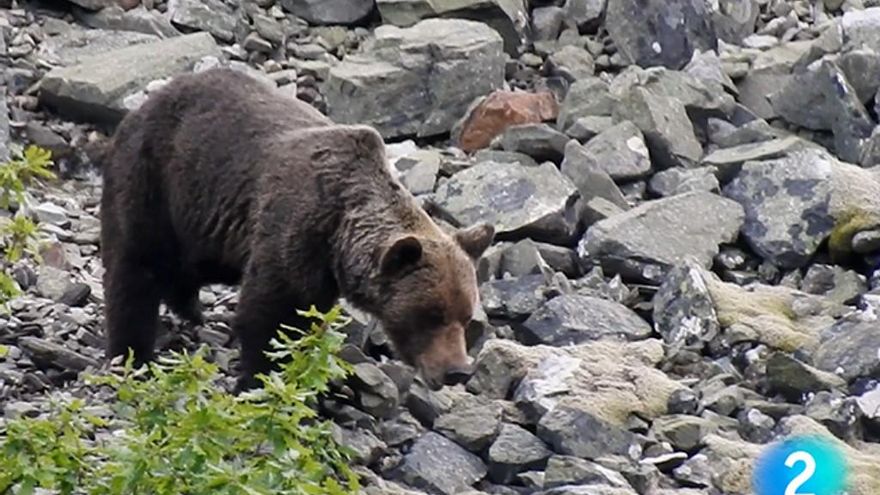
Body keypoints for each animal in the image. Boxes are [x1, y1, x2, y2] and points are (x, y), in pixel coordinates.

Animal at [101, 68, 496, 394]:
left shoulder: (322, 270)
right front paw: (260, 377)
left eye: (467, 318)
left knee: (187, 266)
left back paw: (191, 309)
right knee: (137, 266)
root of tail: (142, 104)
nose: (457, 371)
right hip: (157, 177)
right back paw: (132, 352)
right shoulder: (294, 227)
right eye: (431, 314)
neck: (340, 233)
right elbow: (270, 312)